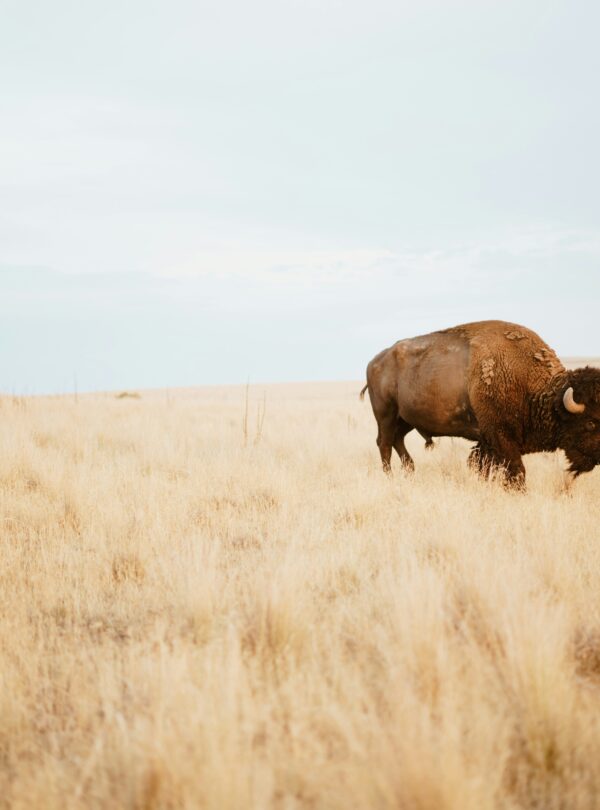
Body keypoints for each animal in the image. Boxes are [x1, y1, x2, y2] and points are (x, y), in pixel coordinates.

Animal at [361, 320, 600, 488]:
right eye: (590, 423)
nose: (597, 459)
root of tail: (374, 362)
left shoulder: (488, 442)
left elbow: (484, 467)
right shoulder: (501, 437)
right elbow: (516, 471)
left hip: (406, 419)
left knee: (397, 440)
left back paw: (410, 471)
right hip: (386, 415)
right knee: (384, 444)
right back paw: (390, 477)